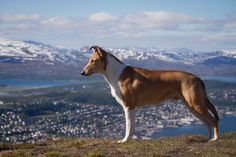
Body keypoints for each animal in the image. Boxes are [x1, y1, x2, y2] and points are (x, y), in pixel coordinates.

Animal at [81, 45, 219, 144]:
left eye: (93, 61)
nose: (82, 73)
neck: (116, 74)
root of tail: (198, 78)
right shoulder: (132, 108)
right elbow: (132, 127)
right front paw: (129, 140)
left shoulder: (128, 106)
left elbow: (128, 126)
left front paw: (124, 141)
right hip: (192, 106)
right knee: (207, 123)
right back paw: (208, 139)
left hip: (195, 104)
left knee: (213, 120)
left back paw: (215, 139)